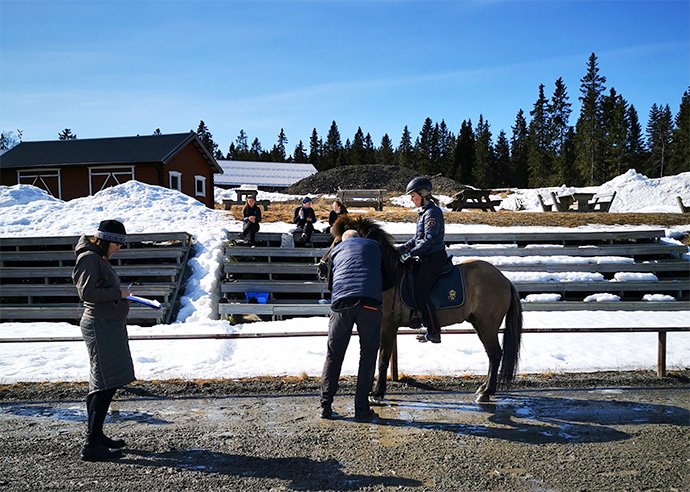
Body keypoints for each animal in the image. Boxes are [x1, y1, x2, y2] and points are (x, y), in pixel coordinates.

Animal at [328, 216, 520, 404]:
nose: (323, 267)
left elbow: (382, 358)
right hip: (479, 323)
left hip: (487, 324)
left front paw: (377, 393)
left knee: (495, 354)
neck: (390, 277)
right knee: (491, 354)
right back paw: (484, 388)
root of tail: (504, 279)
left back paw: (487, 392)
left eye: (337, 242)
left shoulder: (388, 325)